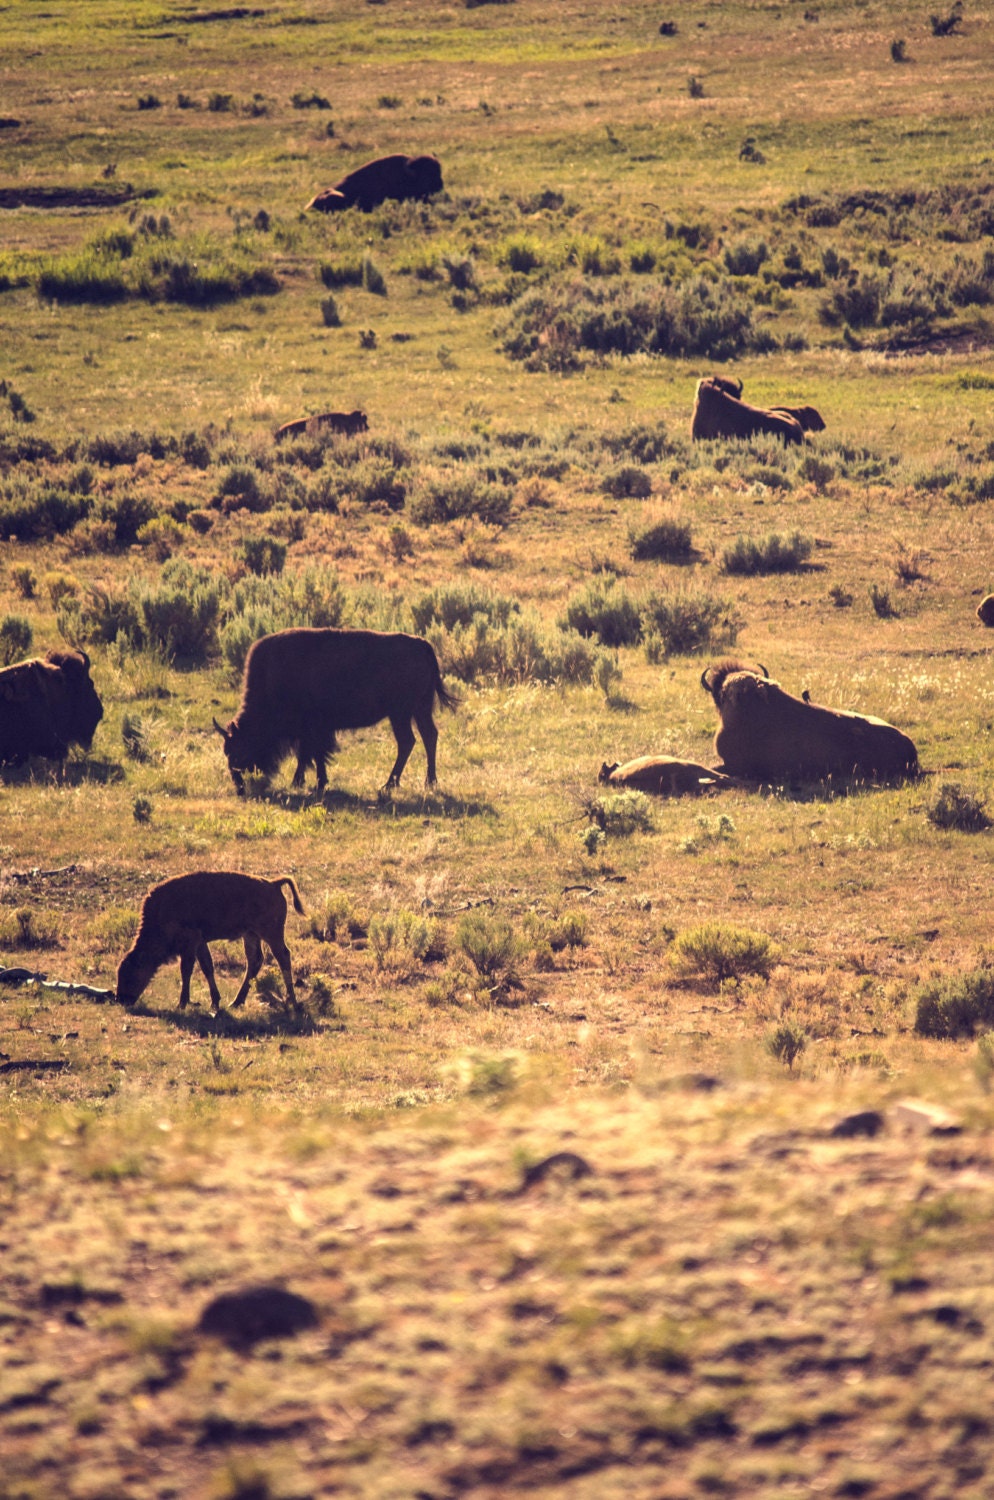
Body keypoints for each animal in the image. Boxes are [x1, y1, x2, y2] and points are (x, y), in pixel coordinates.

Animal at [117, 871, 304, 1012]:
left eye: (130, 974)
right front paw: (215, 1002)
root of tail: (274, 884)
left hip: (271, 934)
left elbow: (186, 970)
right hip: (251, 935)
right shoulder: (200, 943)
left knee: (283, 957)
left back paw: (292, 1002)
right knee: (255, 960)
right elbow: (207, 967)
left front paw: (182, 1004)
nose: (121, 1000)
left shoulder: (190, 944)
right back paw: (236, 1002)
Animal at [214, 627, 457, 795]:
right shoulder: (312, 730)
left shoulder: (312, 728)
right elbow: (309, 754)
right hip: (418, 710)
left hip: (401, 713)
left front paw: (310, 782)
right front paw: (307, 781)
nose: (239, 786)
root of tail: (423, 645)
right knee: (427, 736)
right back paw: (427, 782)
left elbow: (312, 753)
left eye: (239, 749)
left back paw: (389, 785)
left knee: (409, 740)